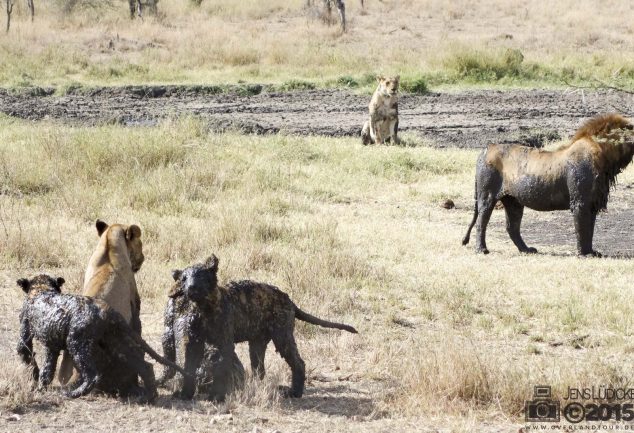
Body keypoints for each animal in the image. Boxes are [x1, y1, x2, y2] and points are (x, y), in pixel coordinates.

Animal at [460, 113, 632, 256]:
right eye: (630, 128)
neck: (604, 155)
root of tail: (487, 148)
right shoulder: (580, 202)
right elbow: (582, 228)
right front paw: (584, 253)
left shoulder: (592, 203)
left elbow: (590, 229)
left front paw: (592, 251)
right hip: (487, 196)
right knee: (481, 222)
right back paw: (482, 249)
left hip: (513, 201)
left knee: (512, 227)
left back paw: (527, 250)